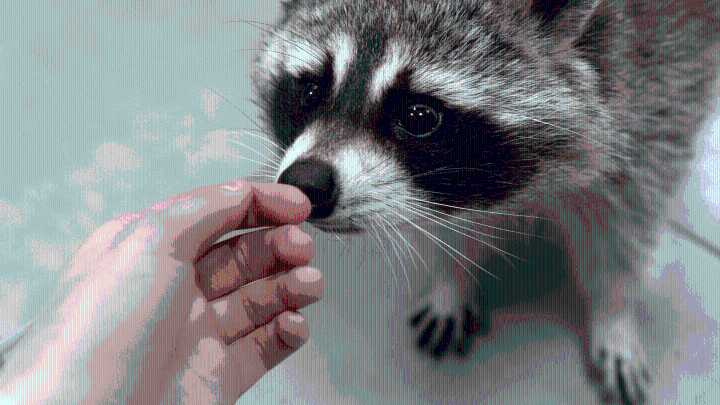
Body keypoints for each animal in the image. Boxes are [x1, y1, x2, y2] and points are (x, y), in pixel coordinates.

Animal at [252, 0, 720, 403]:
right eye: (311, 91)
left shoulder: (662, 84)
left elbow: (627, 219)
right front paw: (452, 276)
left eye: (419, 116)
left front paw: (615, 309)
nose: (305, 183)